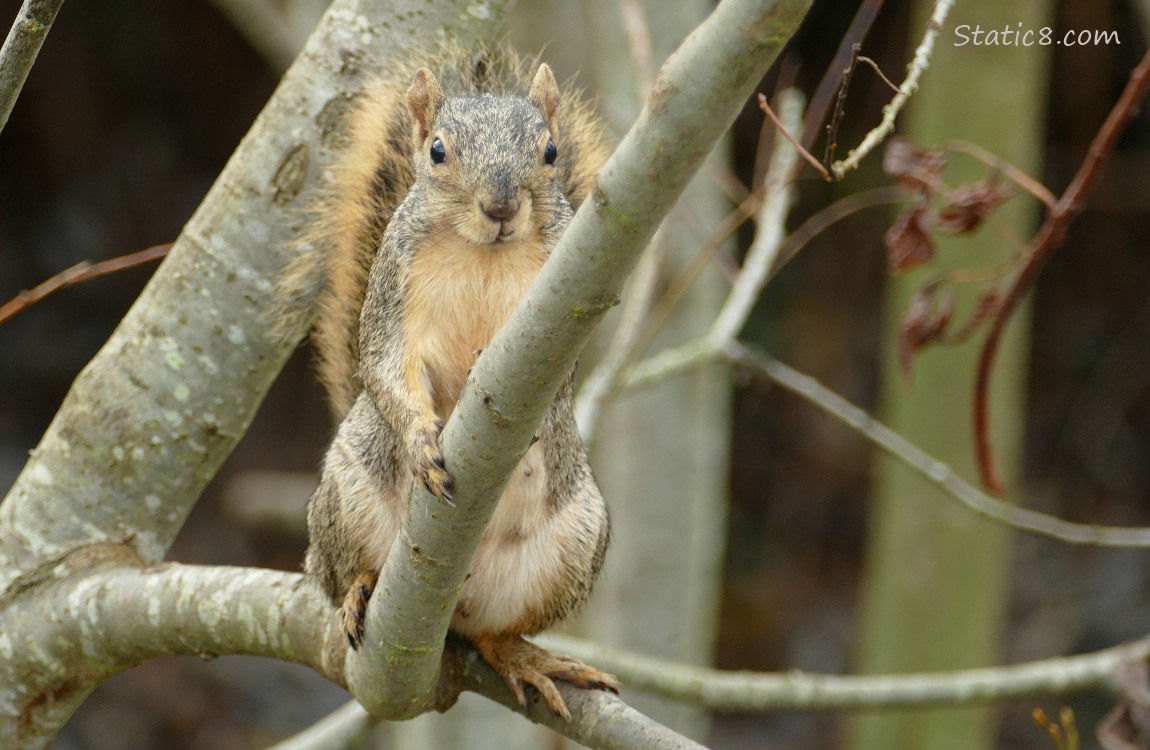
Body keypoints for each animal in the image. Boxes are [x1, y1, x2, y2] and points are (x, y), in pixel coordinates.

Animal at [278, 46, 617, 719]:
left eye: (550, 152)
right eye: (437, 151)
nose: (501, 208)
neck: (483, 252)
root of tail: (445, 610)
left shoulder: (574, 307)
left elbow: (562, 377)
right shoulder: (392, 288)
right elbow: (384, 364)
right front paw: (419, 441)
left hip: (575, 541)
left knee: (491, 633)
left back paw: (523, 656)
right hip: (344, 498)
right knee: (334, 573)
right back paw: (359, 589)